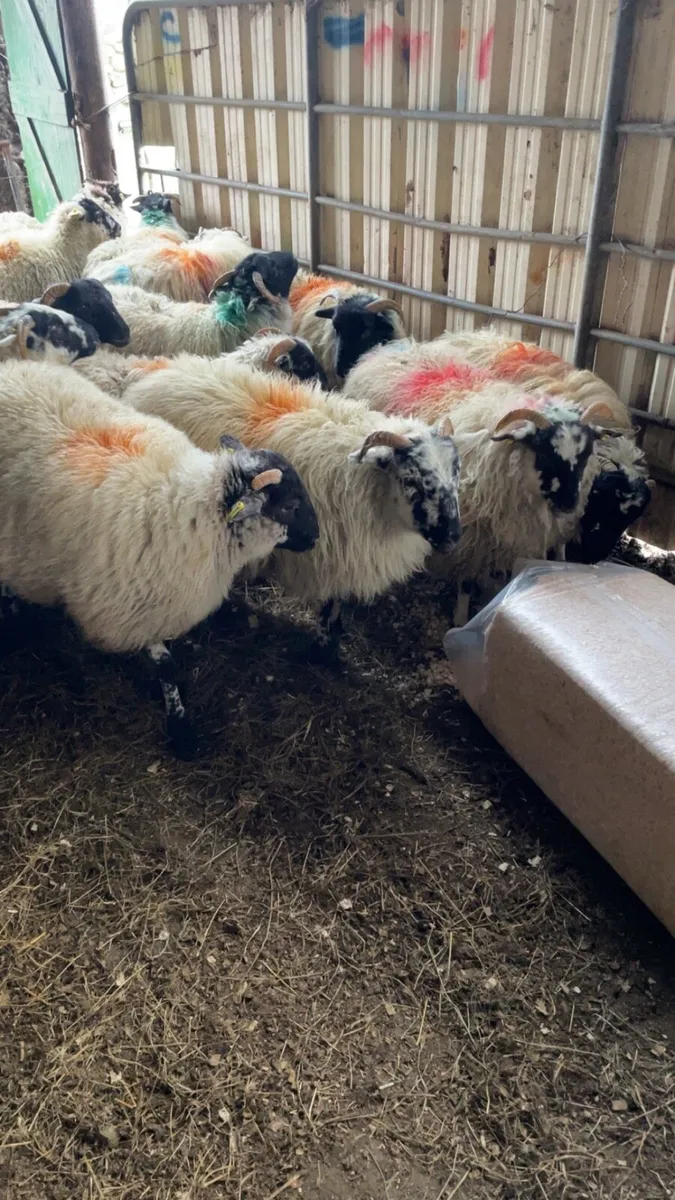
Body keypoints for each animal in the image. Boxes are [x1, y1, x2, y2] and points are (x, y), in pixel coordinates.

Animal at [0, 361, 319, 756]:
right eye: (289, 505)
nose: (316, 536)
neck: (197, 509)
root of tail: (13, 368)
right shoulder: (135, 607)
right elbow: (167, 667)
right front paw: (181, 730)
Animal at [122, 358, 462, 660]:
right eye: (411, 479)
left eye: (456, 470)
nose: (452, 538)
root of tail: (155, 373)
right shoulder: (336, 557)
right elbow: (331, 607)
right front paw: (325, 648)